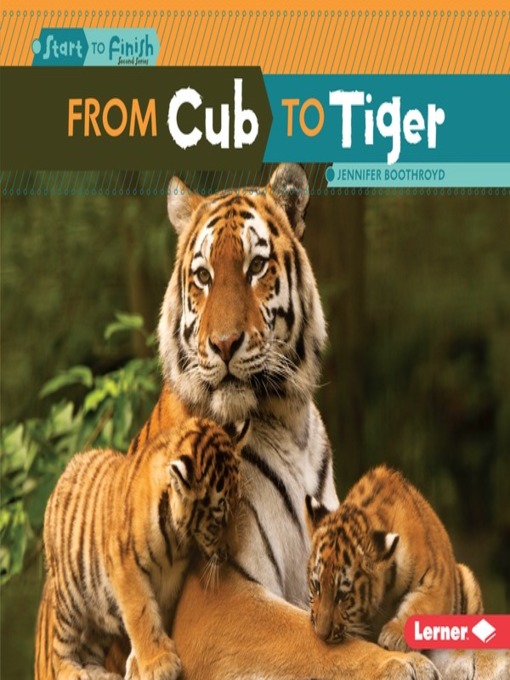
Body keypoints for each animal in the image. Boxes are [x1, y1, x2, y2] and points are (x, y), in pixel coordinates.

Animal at [40, 416, 245, 680]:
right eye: (218, 521)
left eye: (238, 505)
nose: (233, 551)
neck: (176, 540)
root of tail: (65, 471)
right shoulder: (125, 567)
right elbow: (141, 613)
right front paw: (158, 663)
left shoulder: (171, 576)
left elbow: (157, 613)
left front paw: (141, 664)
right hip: (70, 599)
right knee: (60, 647)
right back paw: (73, 672)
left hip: (99, 612)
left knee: (89, 646)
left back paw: (103, 674)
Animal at [305, 465, 484, 651]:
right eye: (316, 585)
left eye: (342, 595)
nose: (321, 634)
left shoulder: (437, 581)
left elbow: (421, 604)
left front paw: (393, 637)